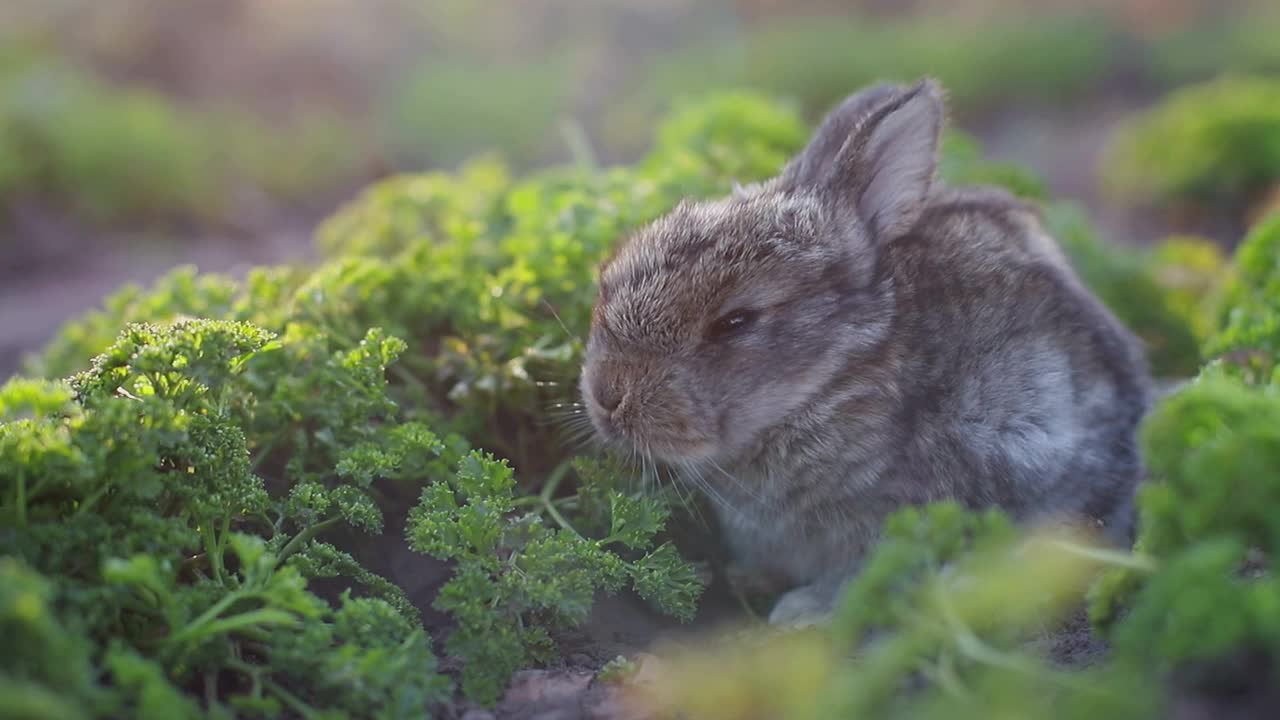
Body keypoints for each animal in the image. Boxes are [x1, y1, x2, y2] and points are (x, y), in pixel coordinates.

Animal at [578, 78, 1152, 625]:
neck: (835, 374)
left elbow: (861, 573)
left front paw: (803, 613)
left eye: (734, 322)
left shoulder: (895, 510)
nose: (607, 396)